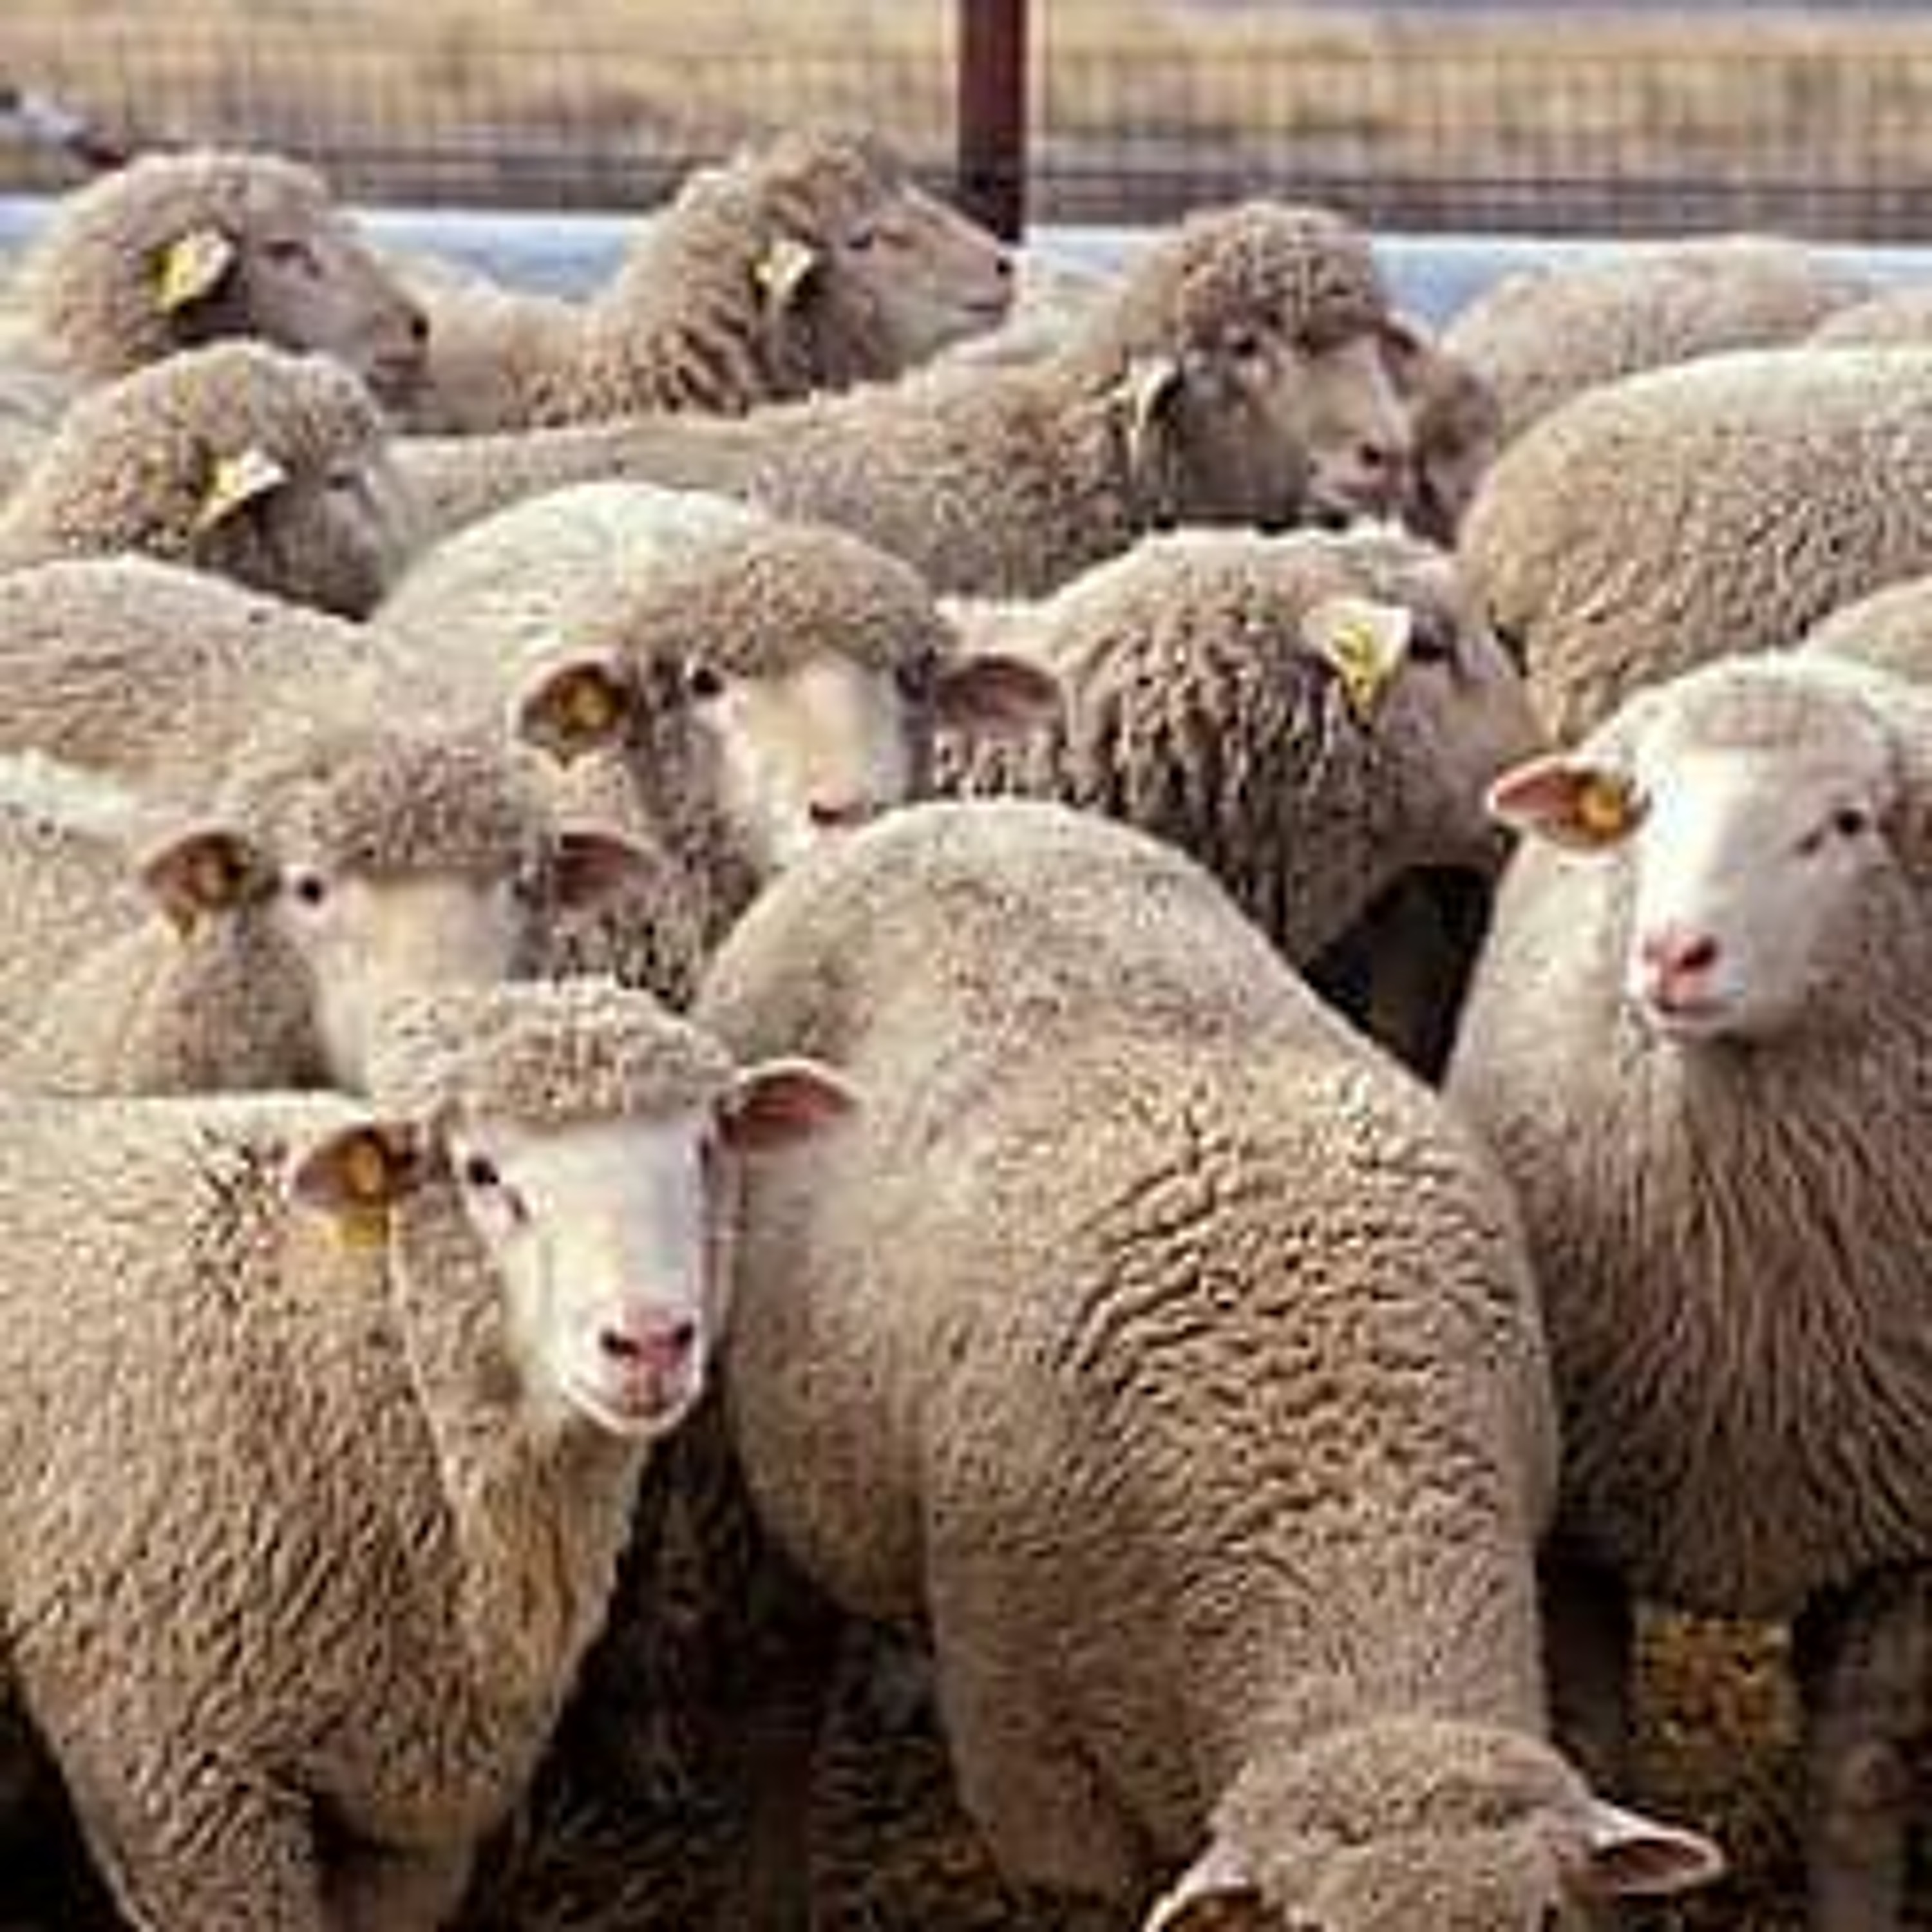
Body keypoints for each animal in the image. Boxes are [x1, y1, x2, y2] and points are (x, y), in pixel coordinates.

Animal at [1445, 650, 1932, 1931]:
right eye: (1647, 807)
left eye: (1845, 824)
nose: (1672, 954)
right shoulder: (1574, 1523)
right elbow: (1595, 1754)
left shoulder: (1899, 1538)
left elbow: (1858, 1779)